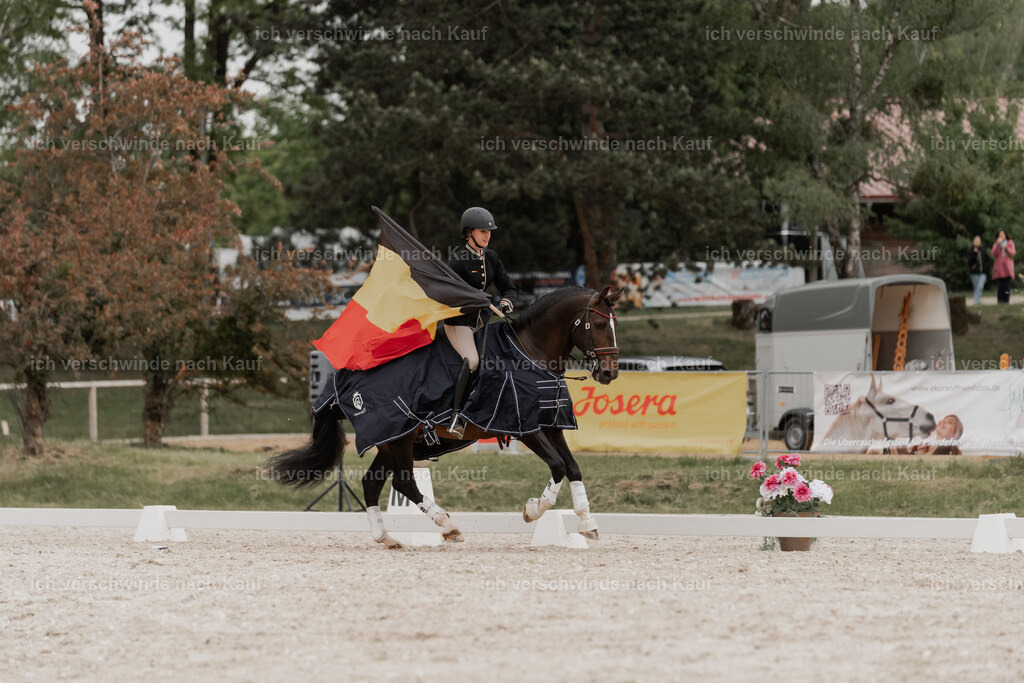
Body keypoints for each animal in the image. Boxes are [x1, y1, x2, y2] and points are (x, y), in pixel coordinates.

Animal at [267, 286, 622, 549]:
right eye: (599, 325)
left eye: (614, 324)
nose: (609, 373)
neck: (529, 352)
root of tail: (342, 379)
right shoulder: (526, 427)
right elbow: (558, 466)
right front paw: (533, 510)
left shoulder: (551, 425)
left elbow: (573, 467)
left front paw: (588, 523)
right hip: (396, 438)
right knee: (404, 482)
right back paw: (447, 525)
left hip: (392, 441)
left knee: (373, 483)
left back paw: (386, 538)